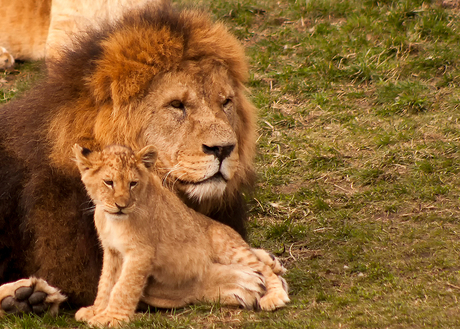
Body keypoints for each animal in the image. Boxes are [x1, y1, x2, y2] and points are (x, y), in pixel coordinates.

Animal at [0, 3, 258, 312]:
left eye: (226, 102)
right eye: (176, 105)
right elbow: (174, 280)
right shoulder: (81, 268)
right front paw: (238, 280)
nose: (224, 148)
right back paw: (23, 296)